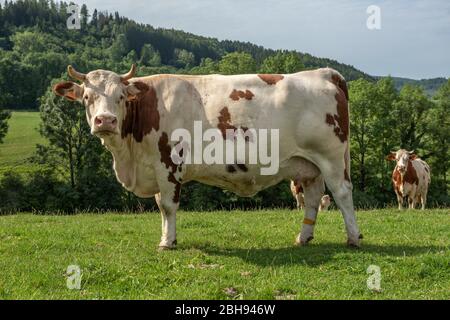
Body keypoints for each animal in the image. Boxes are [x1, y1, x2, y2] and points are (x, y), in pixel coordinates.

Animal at [52, 65, 362, 249]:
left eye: (120, 97)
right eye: (87, 98)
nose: (105, 121)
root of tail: (324, 72)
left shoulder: (169, 164)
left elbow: (168, 206)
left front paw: (167, 242)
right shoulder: (155, 168)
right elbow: (160, 206)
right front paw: (167, 237)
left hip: (331, 158)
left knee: (342, 193)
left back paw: (353, 238)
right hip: (307, 164)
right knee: (313, 197)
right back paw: (303, 237)